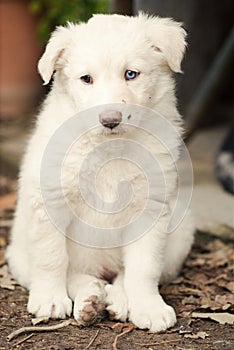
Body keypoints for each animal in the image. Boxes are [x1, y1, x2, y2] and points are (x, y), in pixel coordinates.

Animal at [6, 13, 194, 330]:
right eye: (86, 79)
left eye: (131, 74)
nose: (110, 120)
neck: (108, 147)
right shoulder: (49, 201)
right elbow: (51, 257)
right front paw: (50, 299)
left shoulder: (151, 208)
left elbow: (144, 267)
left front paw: (149, 307)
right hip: (19, 253)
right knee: (76, 273)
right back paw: (90, 299)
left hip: (181, 231)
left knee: (121, 274)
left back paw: (116, 300)